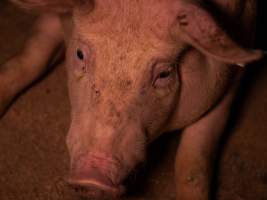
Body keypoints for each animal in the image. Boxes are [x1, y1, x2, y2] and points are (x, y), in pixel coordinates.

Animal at [0, 0, 264, 199]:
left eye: (164, 74)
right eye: (79, 54)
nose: (91, 177)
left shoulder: (226, 85)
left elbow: (193, 165)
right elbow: (33, 57)